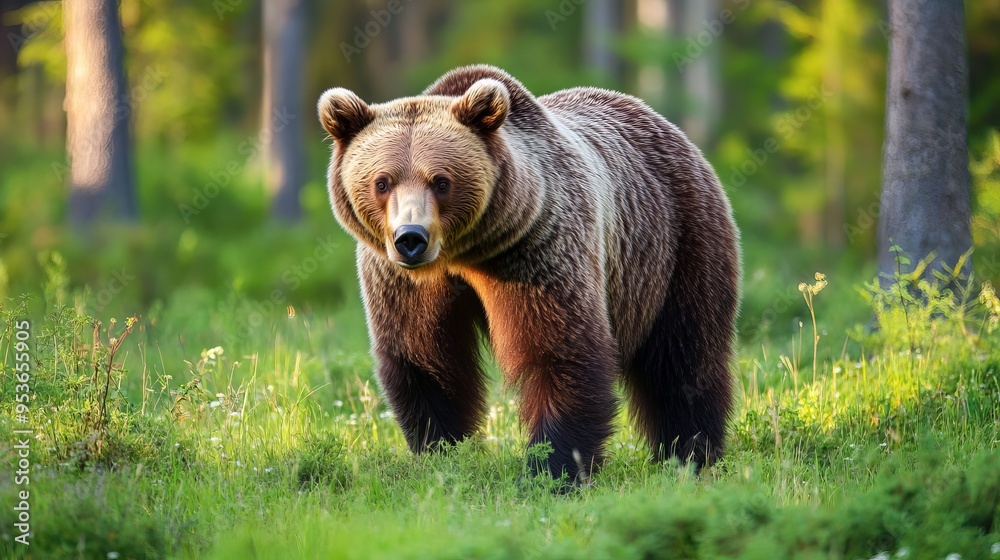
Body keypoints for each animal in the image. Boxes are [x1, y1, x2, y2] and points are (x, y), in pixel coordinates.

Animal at [317, 65, 740, 483]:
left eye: (441, 181)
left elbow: (559, 351)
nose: (411, 238)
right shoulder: (404, 282)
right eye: (382, 181)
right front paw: (443, 454)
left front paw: (551, 468)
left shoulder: (537, 250)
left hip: (677, 242)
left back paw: (690, 453)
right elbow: (424, 359)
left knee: (684, 355)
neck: (464, 254)